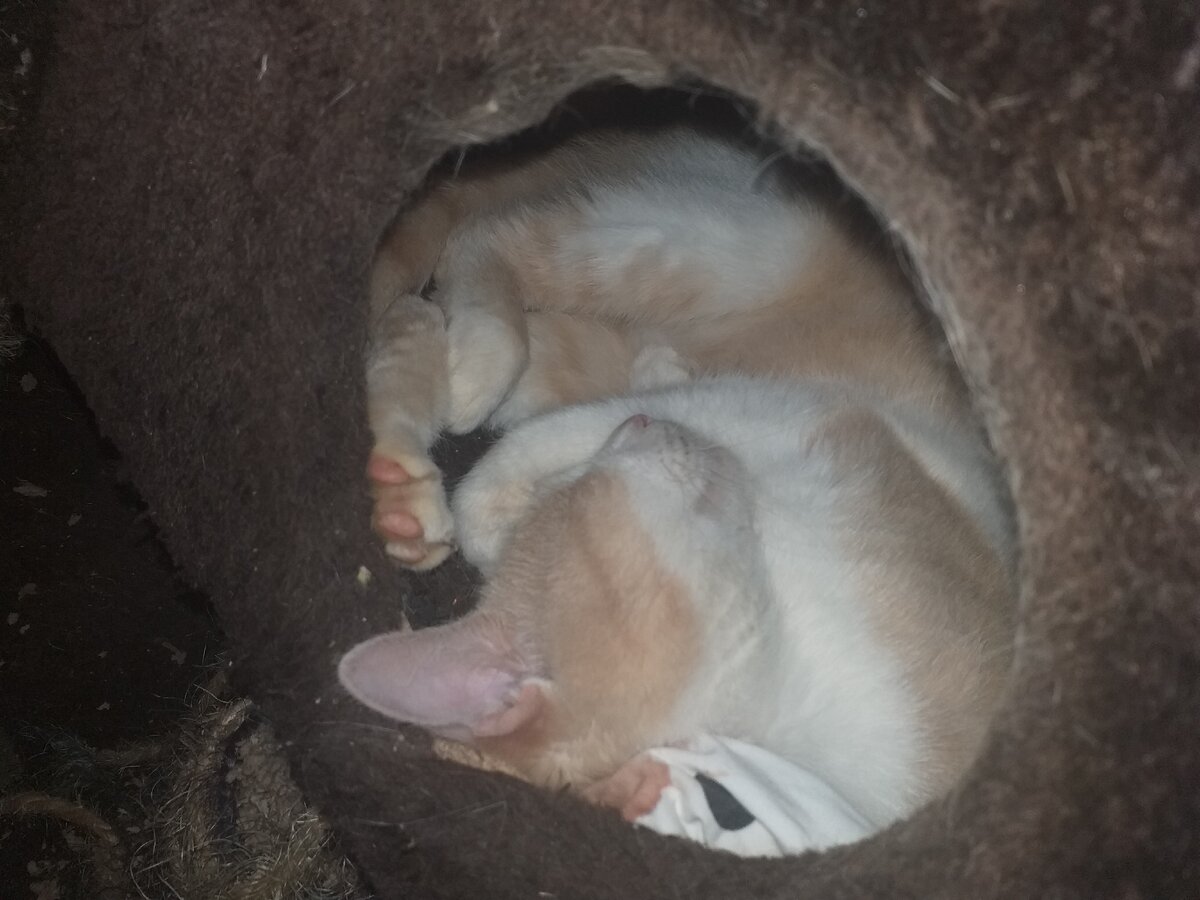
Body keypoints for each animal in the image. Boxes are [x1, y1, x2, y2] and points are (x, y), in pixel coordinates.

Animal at [341, 126, 1015, 832]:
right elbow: (541, 453)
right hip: (687, 249)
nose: (638, 428)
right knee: (486, 236)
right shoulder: (788, 409)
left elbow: (558, 446)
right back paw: (479, 364)